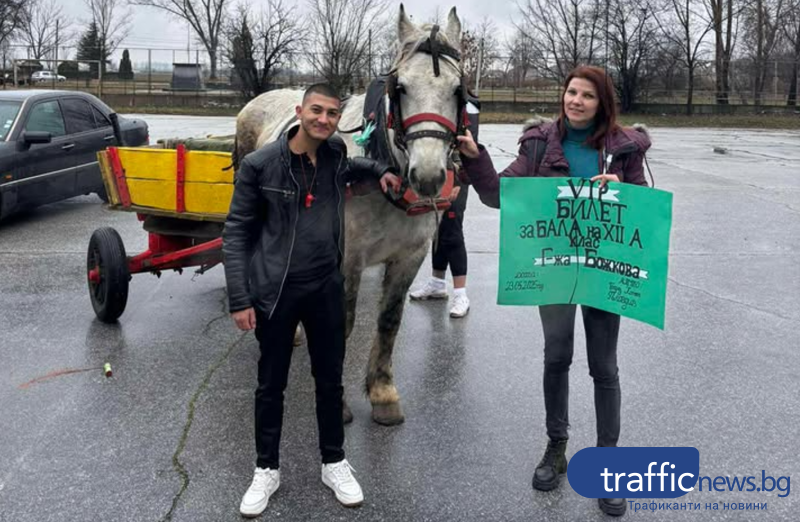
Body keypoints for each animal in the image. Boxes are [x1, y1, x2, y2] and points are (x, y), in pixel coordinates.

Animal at [234, 6, 466, 424]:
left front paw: (382, 392)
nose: (427, 176)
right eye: (400, 88)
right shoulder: (345, 259)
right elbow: (339, 326)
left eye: (458, 91)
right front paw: (336, 403)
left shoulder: (410, 255)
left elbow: (388, 320)